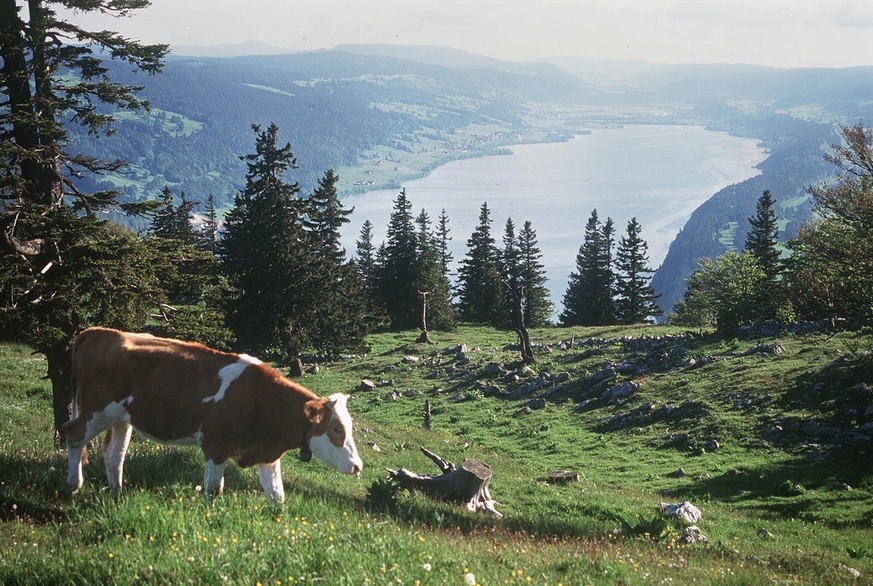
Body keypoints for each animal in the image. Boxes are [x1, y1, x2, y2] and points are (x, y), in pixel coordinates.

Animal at [61, 326, 362, 500]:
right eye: (337, 430)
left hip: (122, 418)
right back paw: (74, 485)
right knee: (73, 435)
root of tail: (97, 331)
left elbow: (277, 496)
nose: (358, 466)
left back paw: (117, 492)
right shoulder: (215, 445)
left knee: (114, 455)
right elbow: (213, 489)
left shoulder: (266, 454)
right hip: (96, 410)